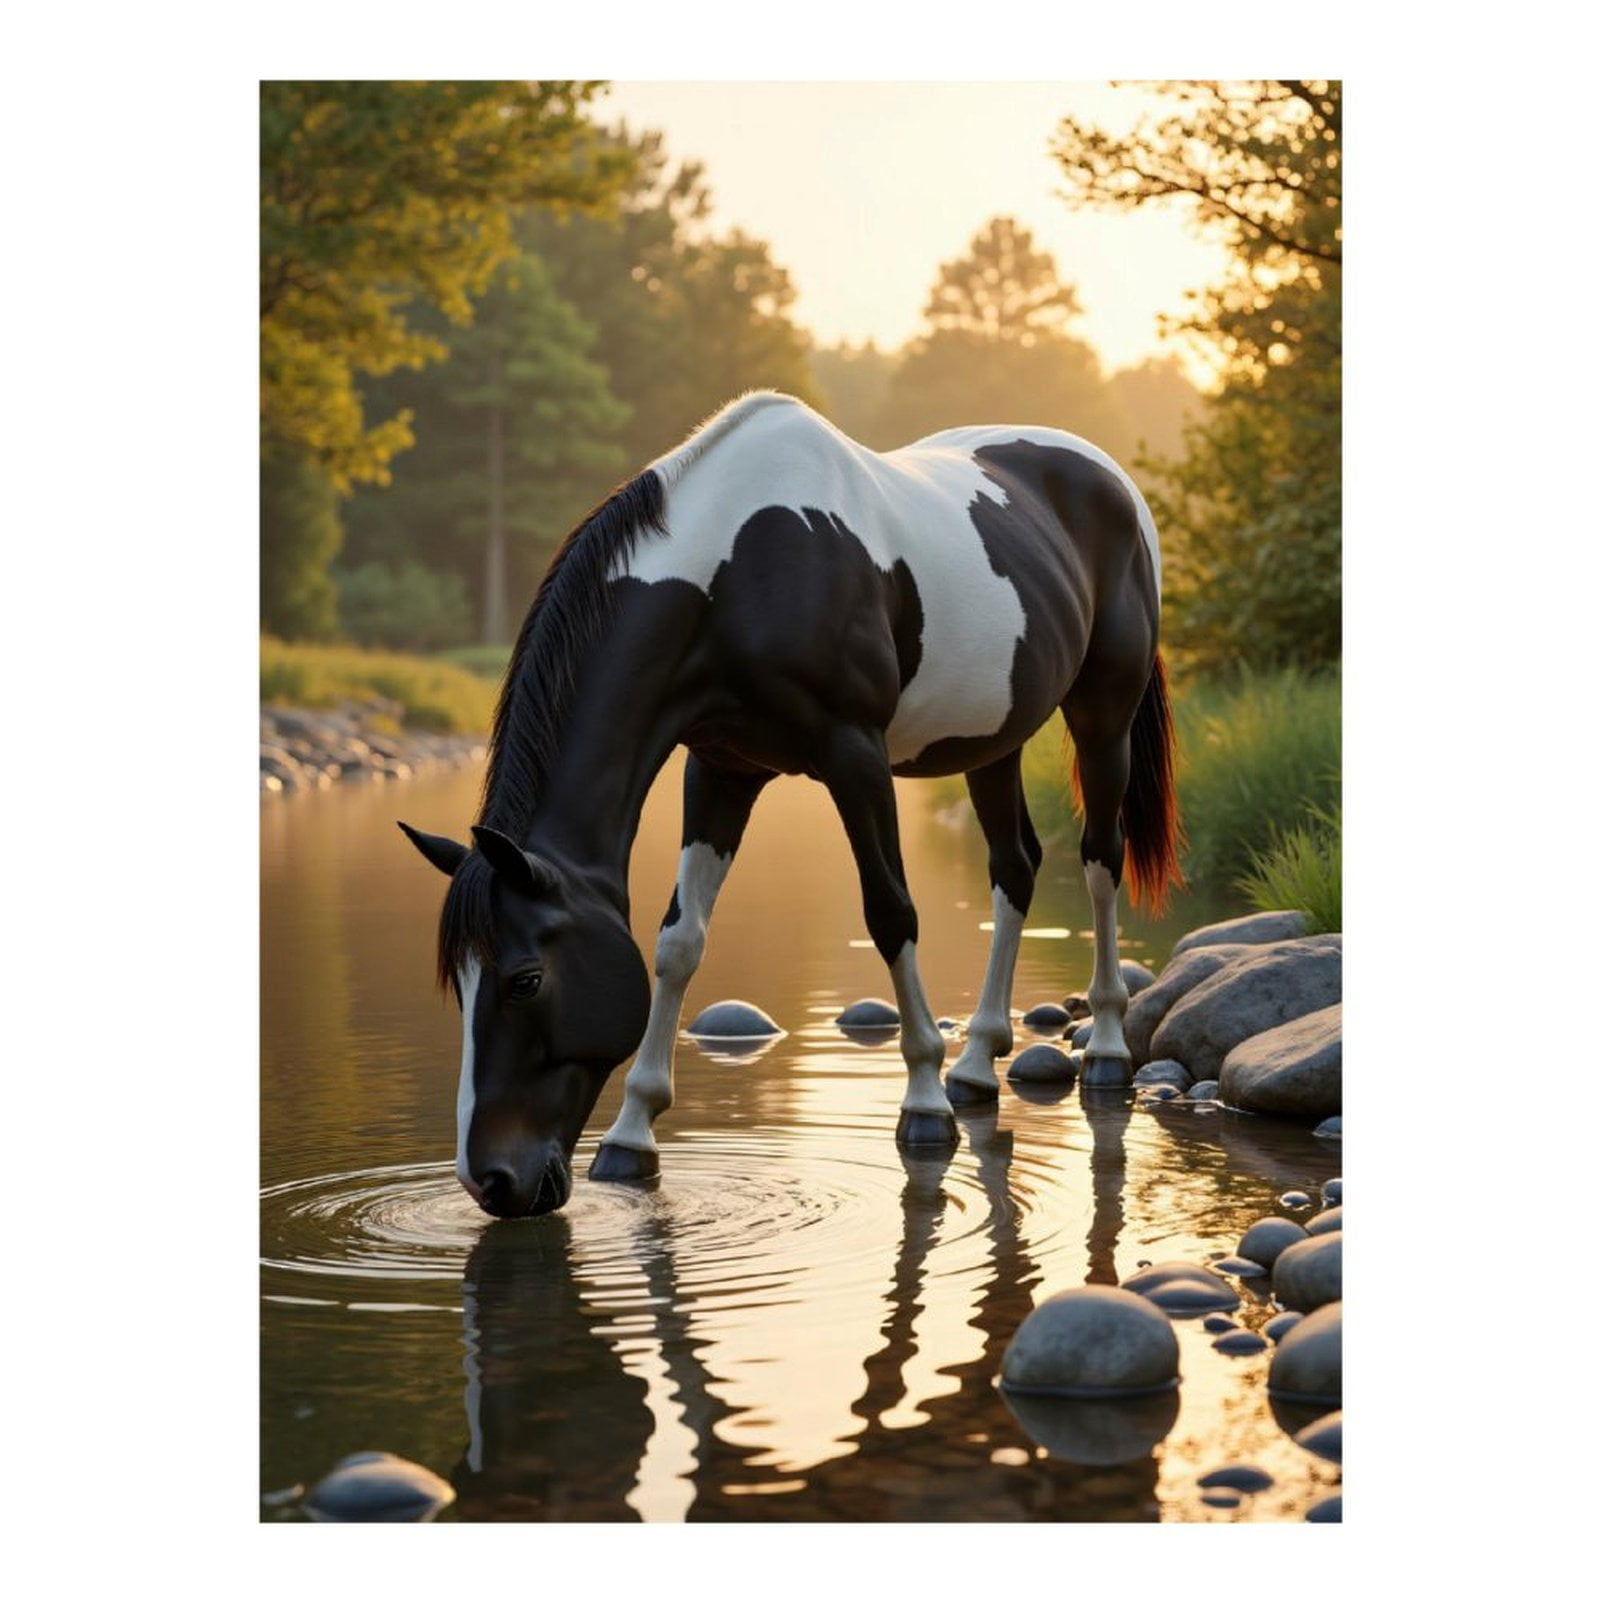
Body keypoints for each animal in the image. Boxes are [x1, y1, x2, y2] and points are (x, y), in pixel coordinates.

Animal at [400, 391, 1180, 1219]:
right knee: (1016, 867)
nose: (492, 1181)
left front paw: (923, 1102)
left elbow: (891, 912)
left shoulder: (854, 756)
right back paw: (974, 1065)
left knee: (1099, 860)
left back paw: (1102, 1047)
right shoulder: (721, 768)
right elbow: (680, 940)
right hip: (992, 738)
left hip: (1103, 715)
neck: (737, 572)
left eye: (525, 980)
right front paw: (632, 1135)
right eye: (460, 983)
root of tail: (1112, 482)